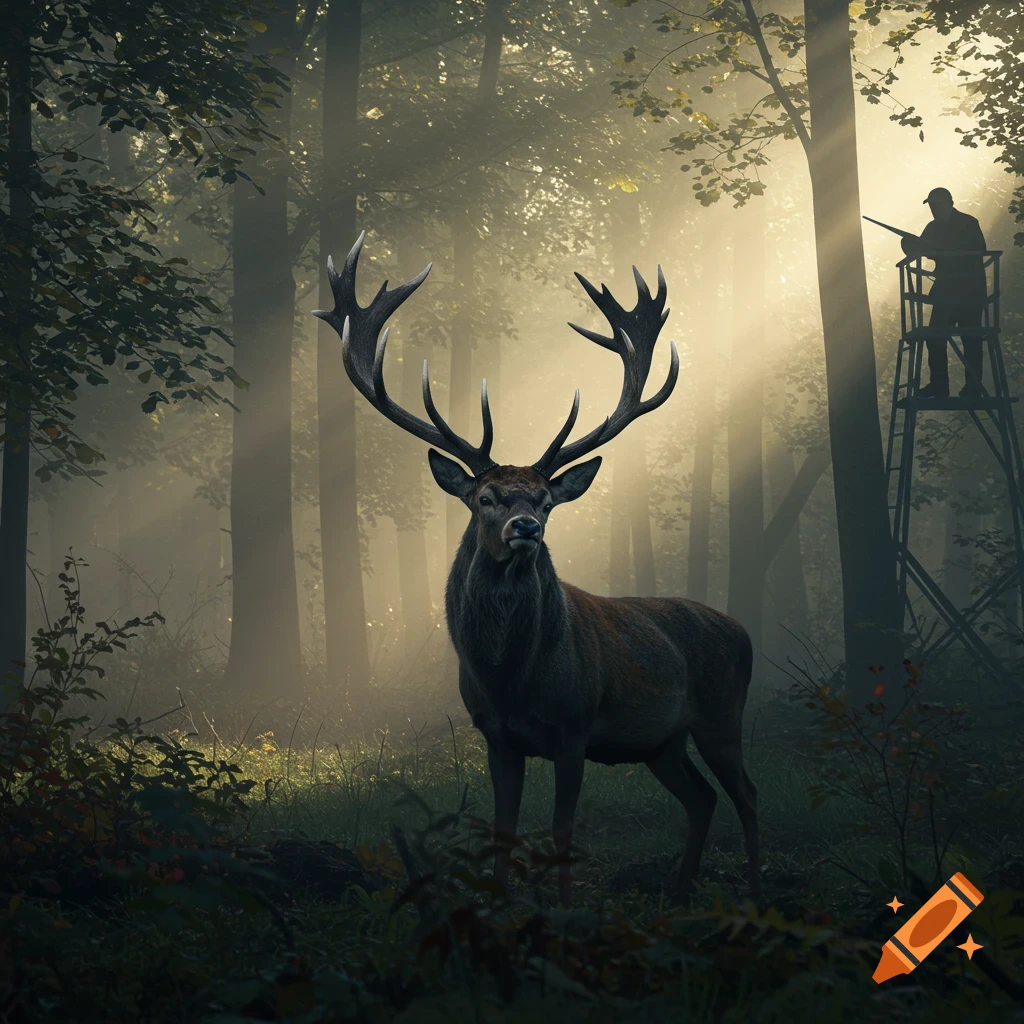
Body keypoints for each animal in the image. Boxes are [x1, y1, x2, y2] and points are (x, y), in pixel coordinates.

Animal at [314, 233, 759, 908]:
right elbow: (505, 826)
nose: (526, 528)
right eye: (485, 497)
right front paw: (500, 903)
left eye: (546, 500)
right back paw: (678, 891)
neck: (511, 677)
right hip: (662, 742)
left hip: (720, 716)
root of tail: (745, 633)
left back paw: (760, 888)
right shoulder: (496, 735)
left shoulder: (575, 728)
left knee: (747, 795)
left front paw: (566, 905)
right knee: (703, 798)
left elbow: (563, 829)